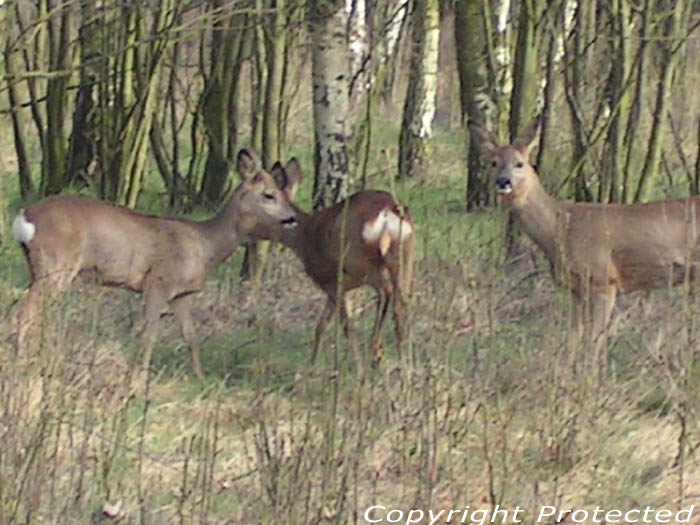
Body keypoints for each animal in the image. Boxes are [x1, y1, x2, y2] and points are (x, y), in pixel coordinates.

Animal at [11, 147, 296, 376]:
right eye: (269, 195)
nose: (293, 218)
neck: (205, 246)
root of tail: (25, 217)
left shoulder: (182, 294)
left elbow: (190, 336)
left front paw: (199, 377)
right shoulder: (158, 283)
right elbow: (149, 335)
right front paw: (139, 380)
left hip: (40, 268)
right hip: (55, 266)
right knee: (24, 314)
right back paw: (23, 362)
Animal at [252, 158, 412, 366]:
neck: (304, 236)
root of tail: (387, 213)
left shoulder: (330, 279)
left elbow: (337, 324)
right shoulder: (340, 286)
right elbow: (321, 326)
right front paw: (312, 365)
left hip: (361, 263)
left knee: (386, 293)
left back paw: (375, 352)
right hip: (404, 257)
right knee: (401, 305)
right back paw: (402, 362)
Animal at [468, 115, 700, 368]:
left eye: (519, 163)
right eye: (493, 162)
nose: (503, 181)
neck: (559, 227)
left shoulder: (604, 280)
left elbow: (593, 345)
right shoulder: (575, 289)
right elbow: (572, 341)